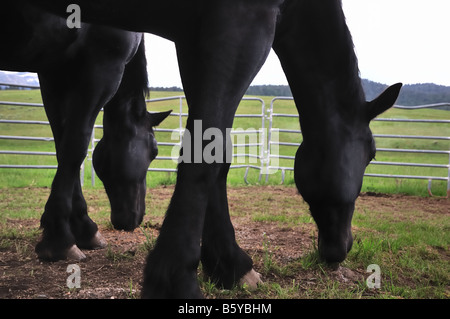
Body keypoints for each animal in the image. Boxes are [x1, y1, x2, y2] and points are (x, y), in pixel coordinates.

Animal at [0, 1, 171, 262]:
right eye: (154, 151)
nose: (135, 219)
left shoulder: (53, 73)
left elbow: (62, 146)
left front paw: (82, 226)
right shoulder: (101, 69)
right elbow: (75, 147)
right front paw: (60, 238)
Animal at [29, 0, 400, 300]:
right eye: (372, 154)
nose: (340, 249)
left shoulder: (194, 36)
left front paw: (227, 265)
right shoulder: (243, 25)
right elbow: (210, 148)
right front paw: (176, 277)